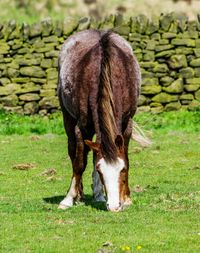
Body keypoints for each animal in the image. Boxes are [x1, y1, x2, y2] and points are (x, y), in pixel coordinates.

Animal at [56, 29, 141, 211]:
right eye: (101, 171)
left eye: (122, 170)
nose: (114, 206)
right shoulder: (81, 128)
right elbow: (79, 163)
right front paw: (69, 198)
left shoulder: (127, 125)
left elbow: (126, 156)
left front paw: (127, 198)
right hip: (68, 120)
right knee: (74, 153)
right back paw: (78, 194)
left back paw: (98, 195)